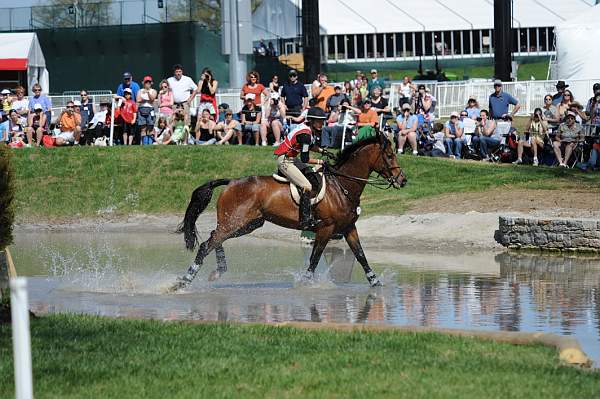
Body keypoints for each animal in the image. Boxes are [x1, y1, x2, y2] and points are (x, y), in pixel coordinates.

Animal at [170, 133, 408, 292]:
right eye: (389, 155)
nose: (402, 180)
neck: (342, 185)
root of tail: (231, 182)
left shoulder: (349, 227)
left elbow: (360, 255)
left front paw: (376, 282)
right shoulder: (326, 229)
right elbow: (314, 258)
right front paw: (305, 283)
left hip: (246, 224)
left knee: (213, 238)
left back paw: (217, 271)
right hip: (236, 222)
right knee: (206, 244)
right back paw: (183, 282)